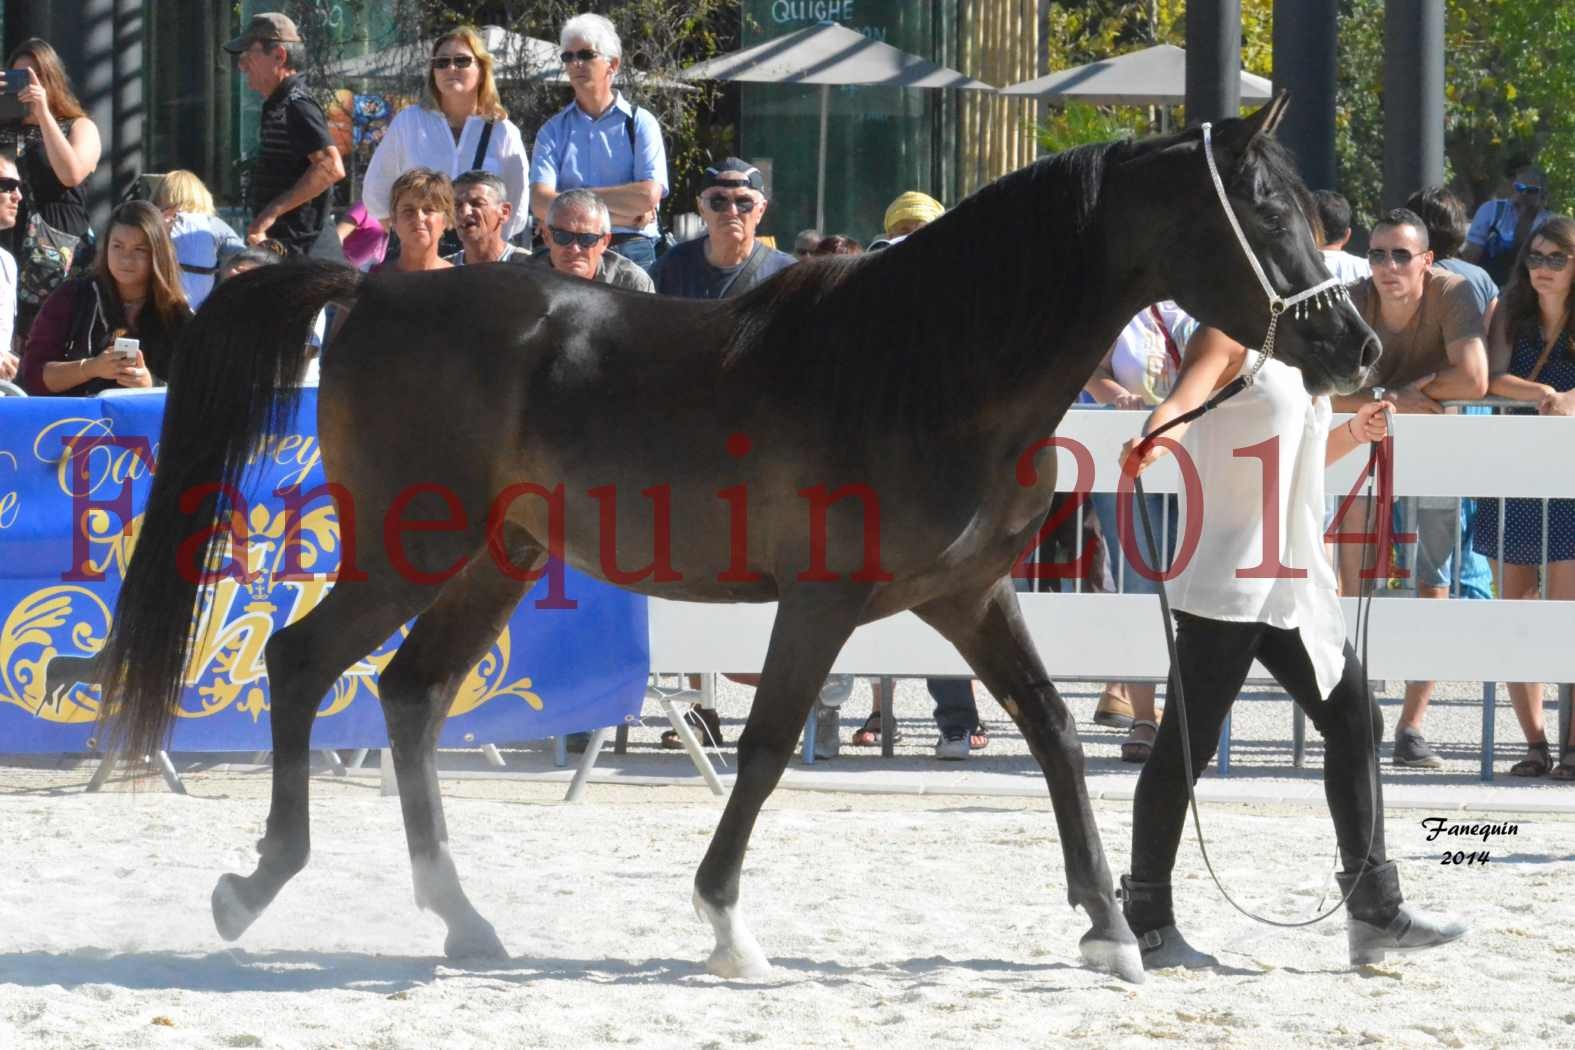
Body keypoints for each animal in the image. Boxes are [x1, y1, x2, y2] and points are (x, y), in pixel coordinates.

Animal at [98, 98, 1379, 988]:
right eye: (1268, 212)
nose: (1358, 348)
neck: (929, 366)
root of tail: (373, 293)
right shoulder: (821, 602)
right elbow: (764, 750)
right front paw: (725, 924)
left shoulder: (966, 596)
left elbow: (1055, 732)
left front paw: (1111, 931)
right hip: (415, 550)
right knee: (302, 663)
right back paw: (255, 886)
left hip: (497, 560)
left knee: (408, 695)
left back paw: (461, 921)